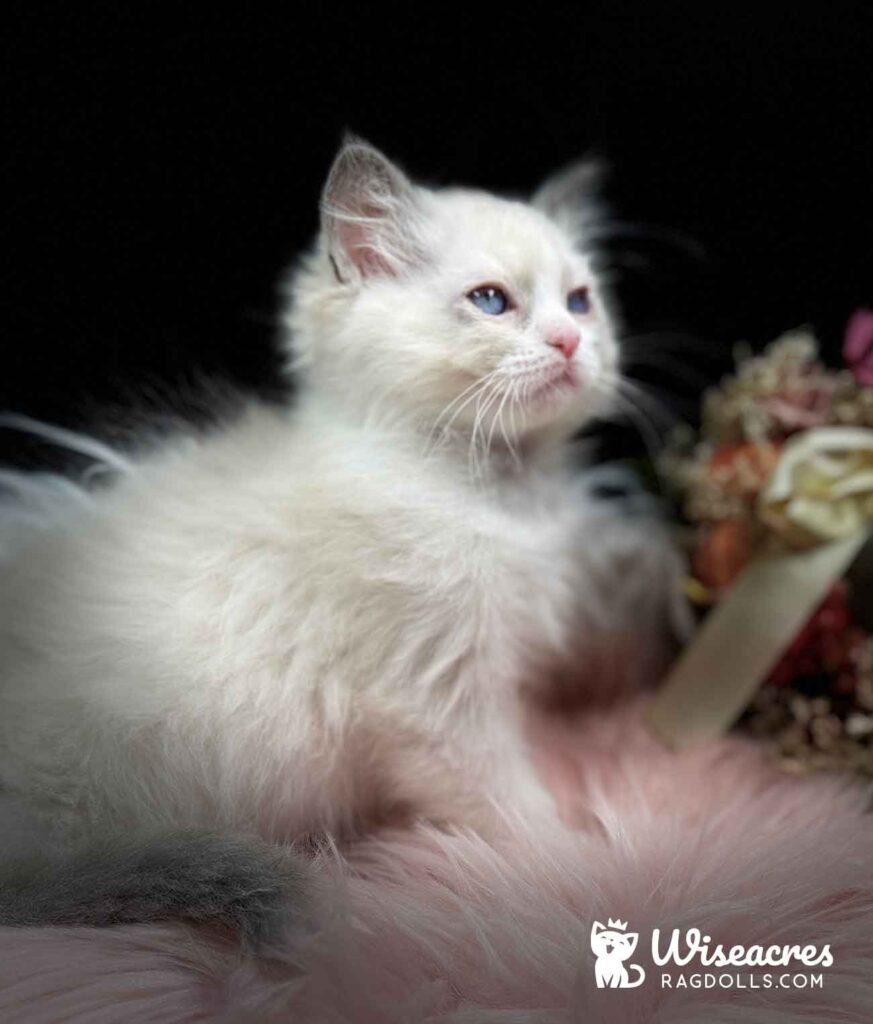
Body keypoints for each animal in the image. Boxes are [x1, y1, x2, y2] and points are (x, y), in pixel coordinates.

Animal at [0, 136, 679, 913]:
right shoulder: (434, 702)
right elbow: (504, 800)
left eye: (580, 301)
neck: (494, 490)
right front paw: (581, 856)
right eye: (490, 301)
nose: (569, 340)